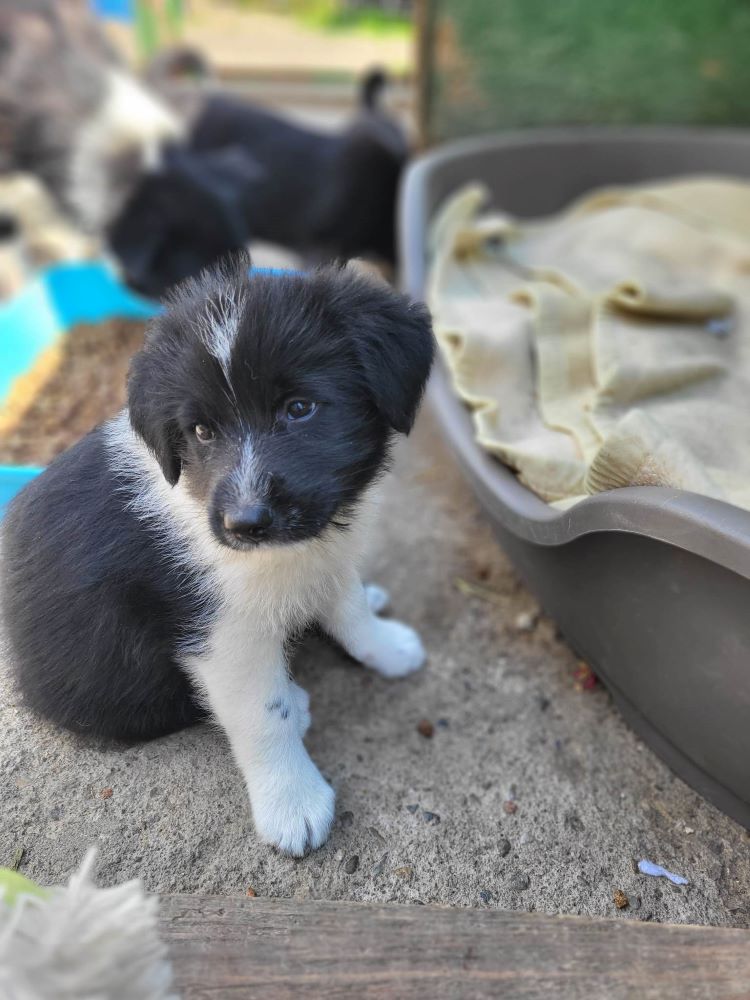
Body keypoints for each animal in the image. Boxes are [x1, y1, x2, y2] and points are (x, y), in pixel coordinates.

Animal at [1, 256, 434, 852]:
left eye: (300, 409)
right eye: (202, 431)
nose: (244, 524)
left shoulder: (325, 552)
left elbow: (348, 607)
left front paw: (386, 647)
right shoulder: (224, 637)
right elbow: (263, 714)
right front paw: (292, 804)